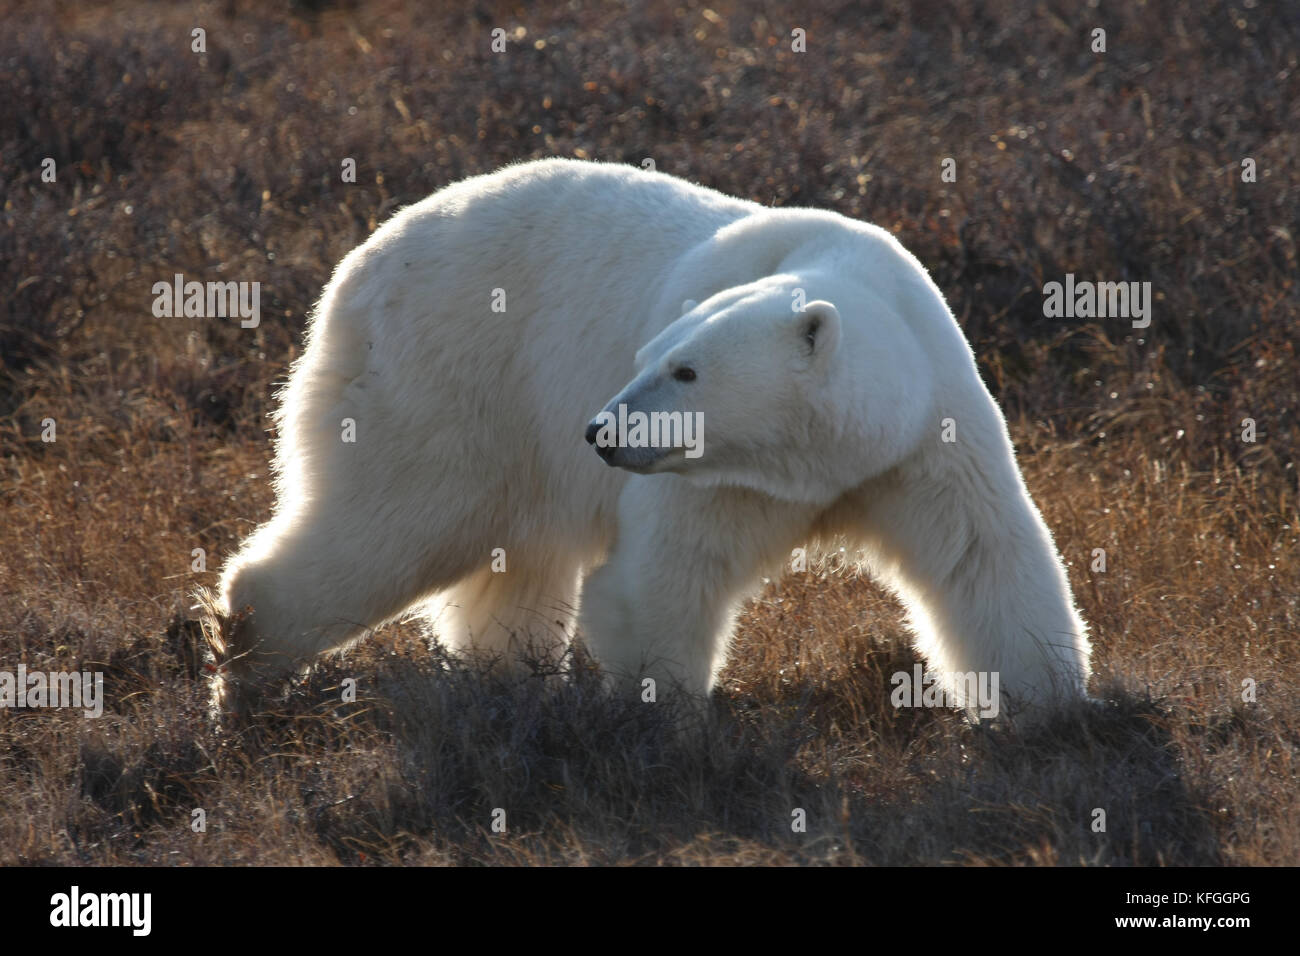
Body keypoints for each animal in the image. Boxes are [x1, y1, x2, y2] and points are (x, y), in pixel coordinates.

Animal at [208, 157, 1092, 717]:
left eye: (685, 370)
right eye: (649, 355)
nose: (601, 430)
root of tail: (358, 265)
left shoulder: (925, 442)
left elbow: (983, 555)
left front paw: (1053, 712)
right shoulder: (714, 477)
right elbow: (661, 577)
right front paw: (662, 726)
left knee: (508, 564)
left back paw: (504, 680)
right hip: (449, 382)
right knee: (394, 525)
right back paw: (250, 674)